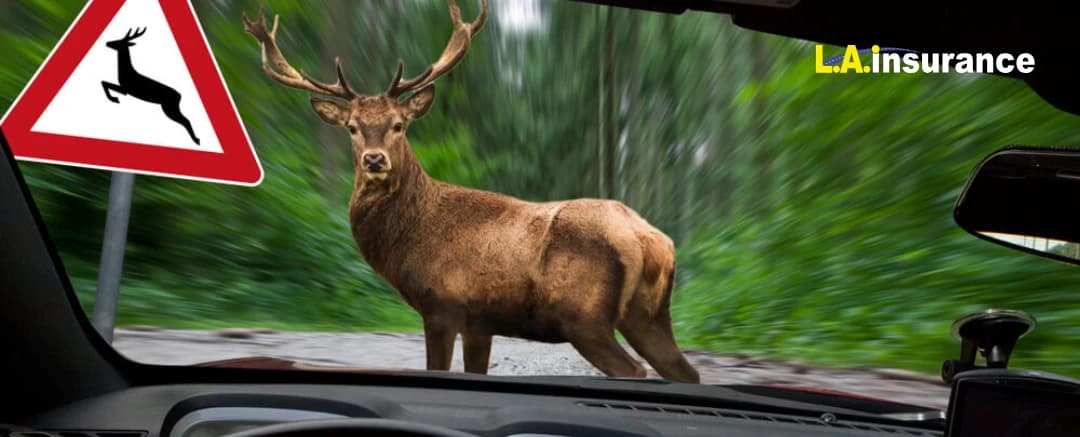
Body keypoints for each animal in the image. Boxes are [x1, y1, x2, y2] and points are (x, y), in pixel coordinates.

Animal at [242, 0, 701, 384]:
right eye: (352, 127)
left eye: (398, 124)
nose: (374, 160)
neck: (409, 240)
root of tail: (649, 239)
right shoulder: (480, 324)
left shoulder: (442, 305)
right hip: (648, 315)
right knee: (684, 370)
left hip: (584, 315)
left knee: (634, 369)